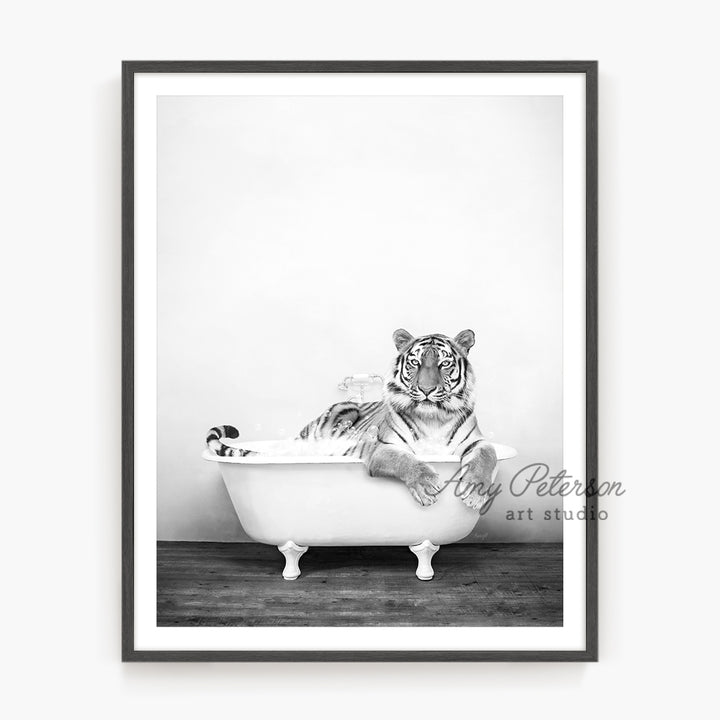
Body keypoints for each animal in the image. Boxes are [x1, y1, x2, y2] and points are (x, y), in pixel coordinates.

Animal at [207, 330, 496, 510]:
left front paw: (475, 493)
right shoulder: (382, 448)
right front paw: (426, 484)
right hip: (340, 412)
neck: (432, 417)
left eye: (443, 364)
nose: (425, 390)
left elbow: (487, 455)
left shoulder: (477, 442)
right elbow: (405, 460)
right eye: (415, 363)